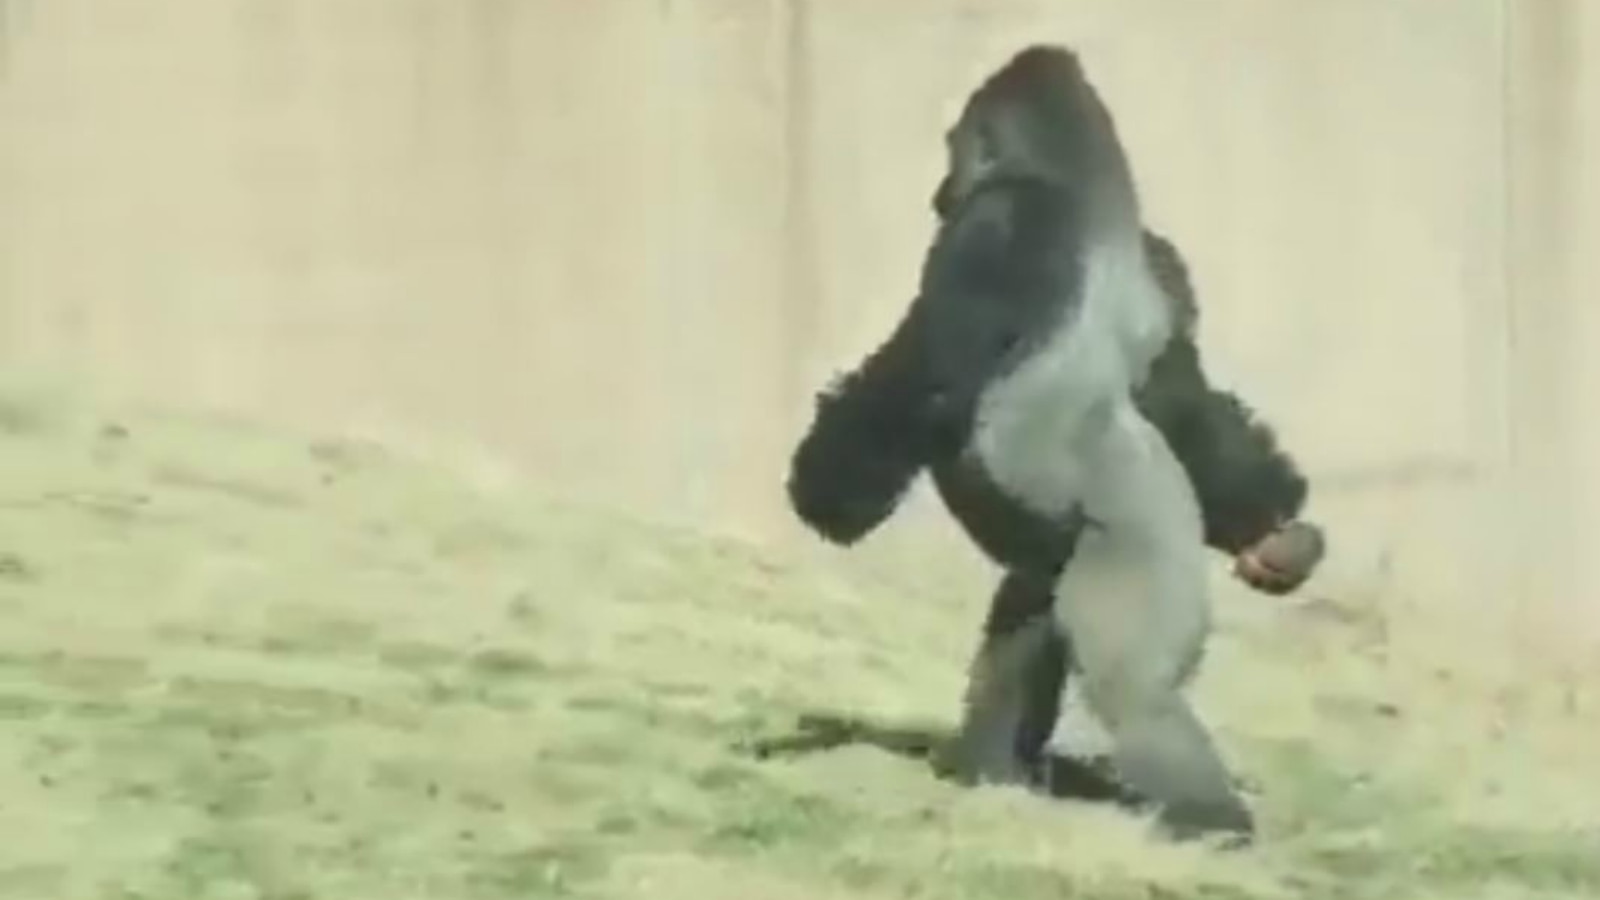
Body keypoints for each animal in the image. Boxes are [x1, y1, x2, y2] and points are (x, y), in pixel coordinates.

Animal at [785, 44, 1265, 842]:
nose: (939, 192)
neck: (1093, 187)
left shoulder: (1002, 223)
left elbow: (923, 384)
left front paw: (825, 492)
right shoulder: (1164, 268)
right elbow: (1181, 397)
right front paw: (1270, 523)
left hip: (1141, 556)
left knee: (1135, 690)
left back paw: (1212, 823)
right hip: (1060, 560)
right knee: (1027, 627)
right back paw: (994, 772)